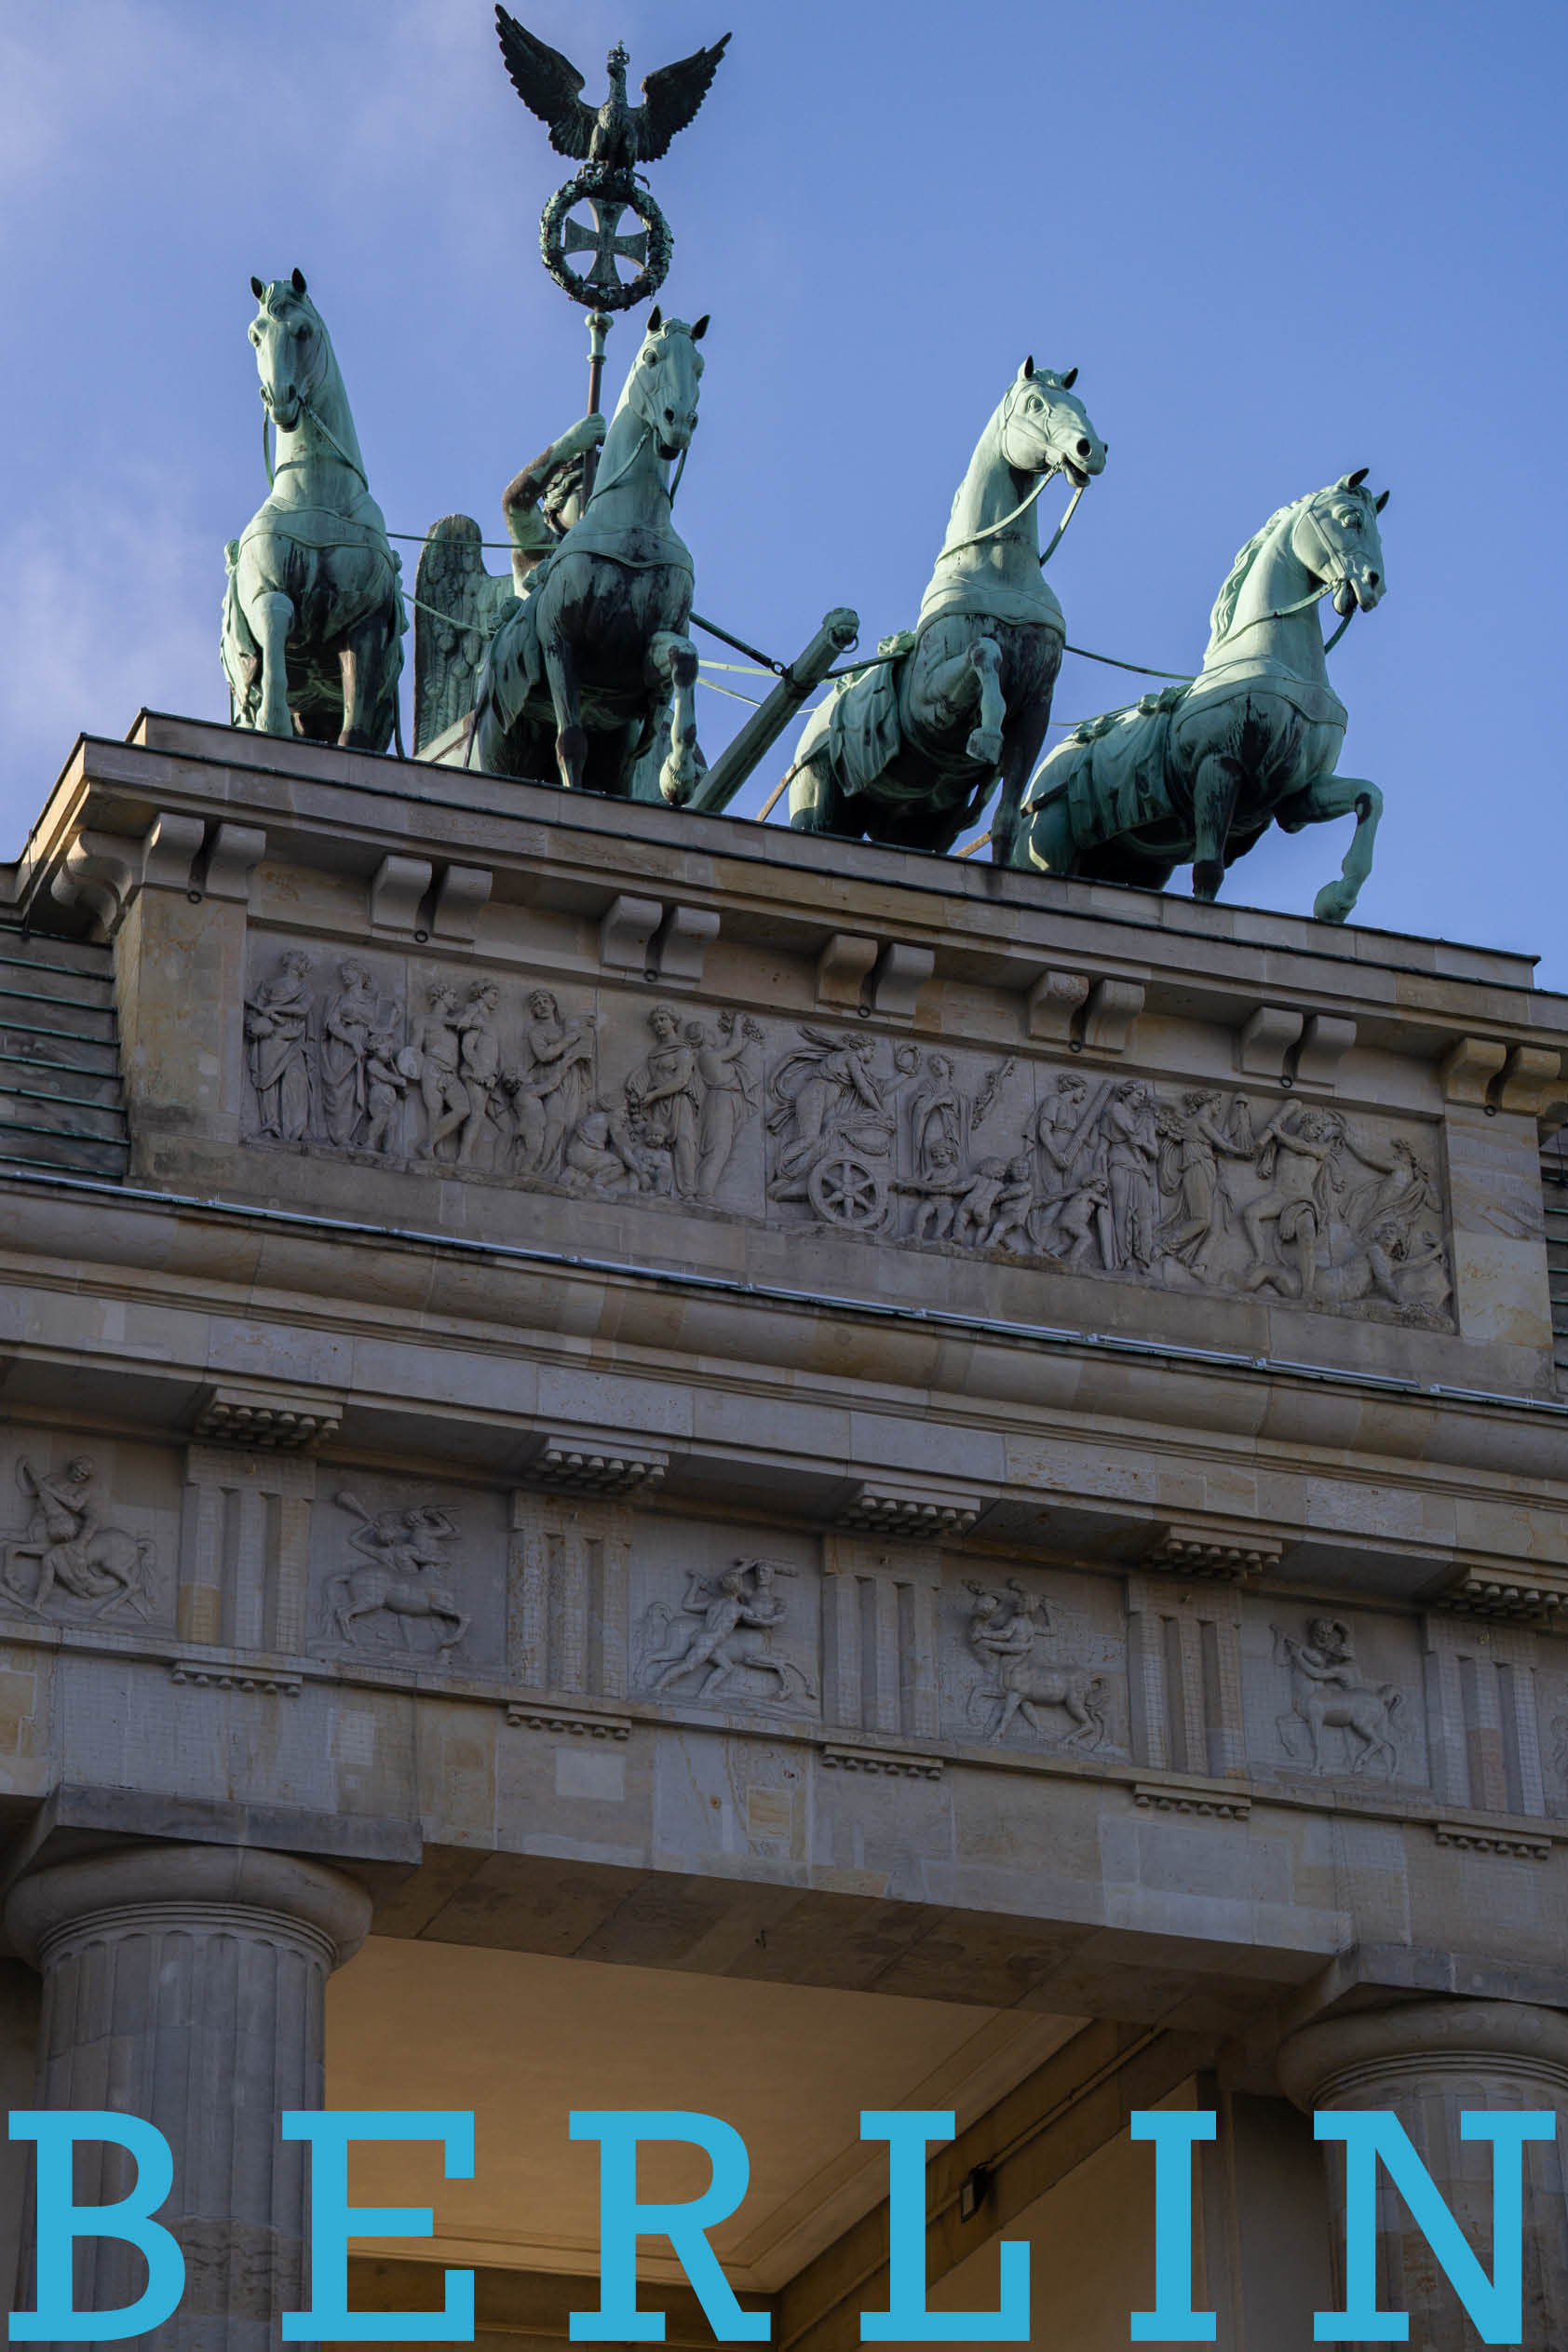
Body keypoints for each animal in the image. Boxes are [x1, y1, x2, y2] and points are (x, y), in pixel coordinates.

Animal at [222, 274, 409, 752]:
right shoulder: (269, 592)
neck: (317, 496)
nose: (280, 399)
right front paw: (273, 723)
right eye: (255, 335)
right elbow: (276, 625)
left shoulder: (364, 621)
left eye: (303, 331)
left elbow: (356, 722)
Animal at [474, 310, 714, 799]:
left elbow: (684, 659)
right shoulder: (560, 643)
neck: (633, 525)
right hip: (505, 747)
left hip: (616, 752)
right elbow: (570, 741)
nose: (678, 422)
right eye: (651, 357)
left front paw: (677, 774)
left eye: (699, 367)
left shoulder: (645, 652)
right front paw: (581, 434)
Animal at [780, 372, 1104, 870]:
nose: (1091, 449)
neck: (1000, 572)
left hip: (923, 826)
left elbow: (1006, 821)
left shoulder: (1037, 709)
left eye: (1081, 406)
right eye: (1034, 403)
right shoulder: (929, 707)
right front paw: (986, 735)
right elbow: (984, 651)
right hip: (818, 798)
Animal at [1020, 472, 1400, 922]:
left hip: (1137, 863)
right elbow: (1208, 873)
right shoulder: (1218, 767)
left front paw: (1336, 899)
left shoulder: (1298, 794)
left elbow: (1370, 797)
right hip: (1048, 847)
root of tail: (1040, 779)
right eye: (1350, 519)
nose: (1374, 584)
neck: (1270, 657)